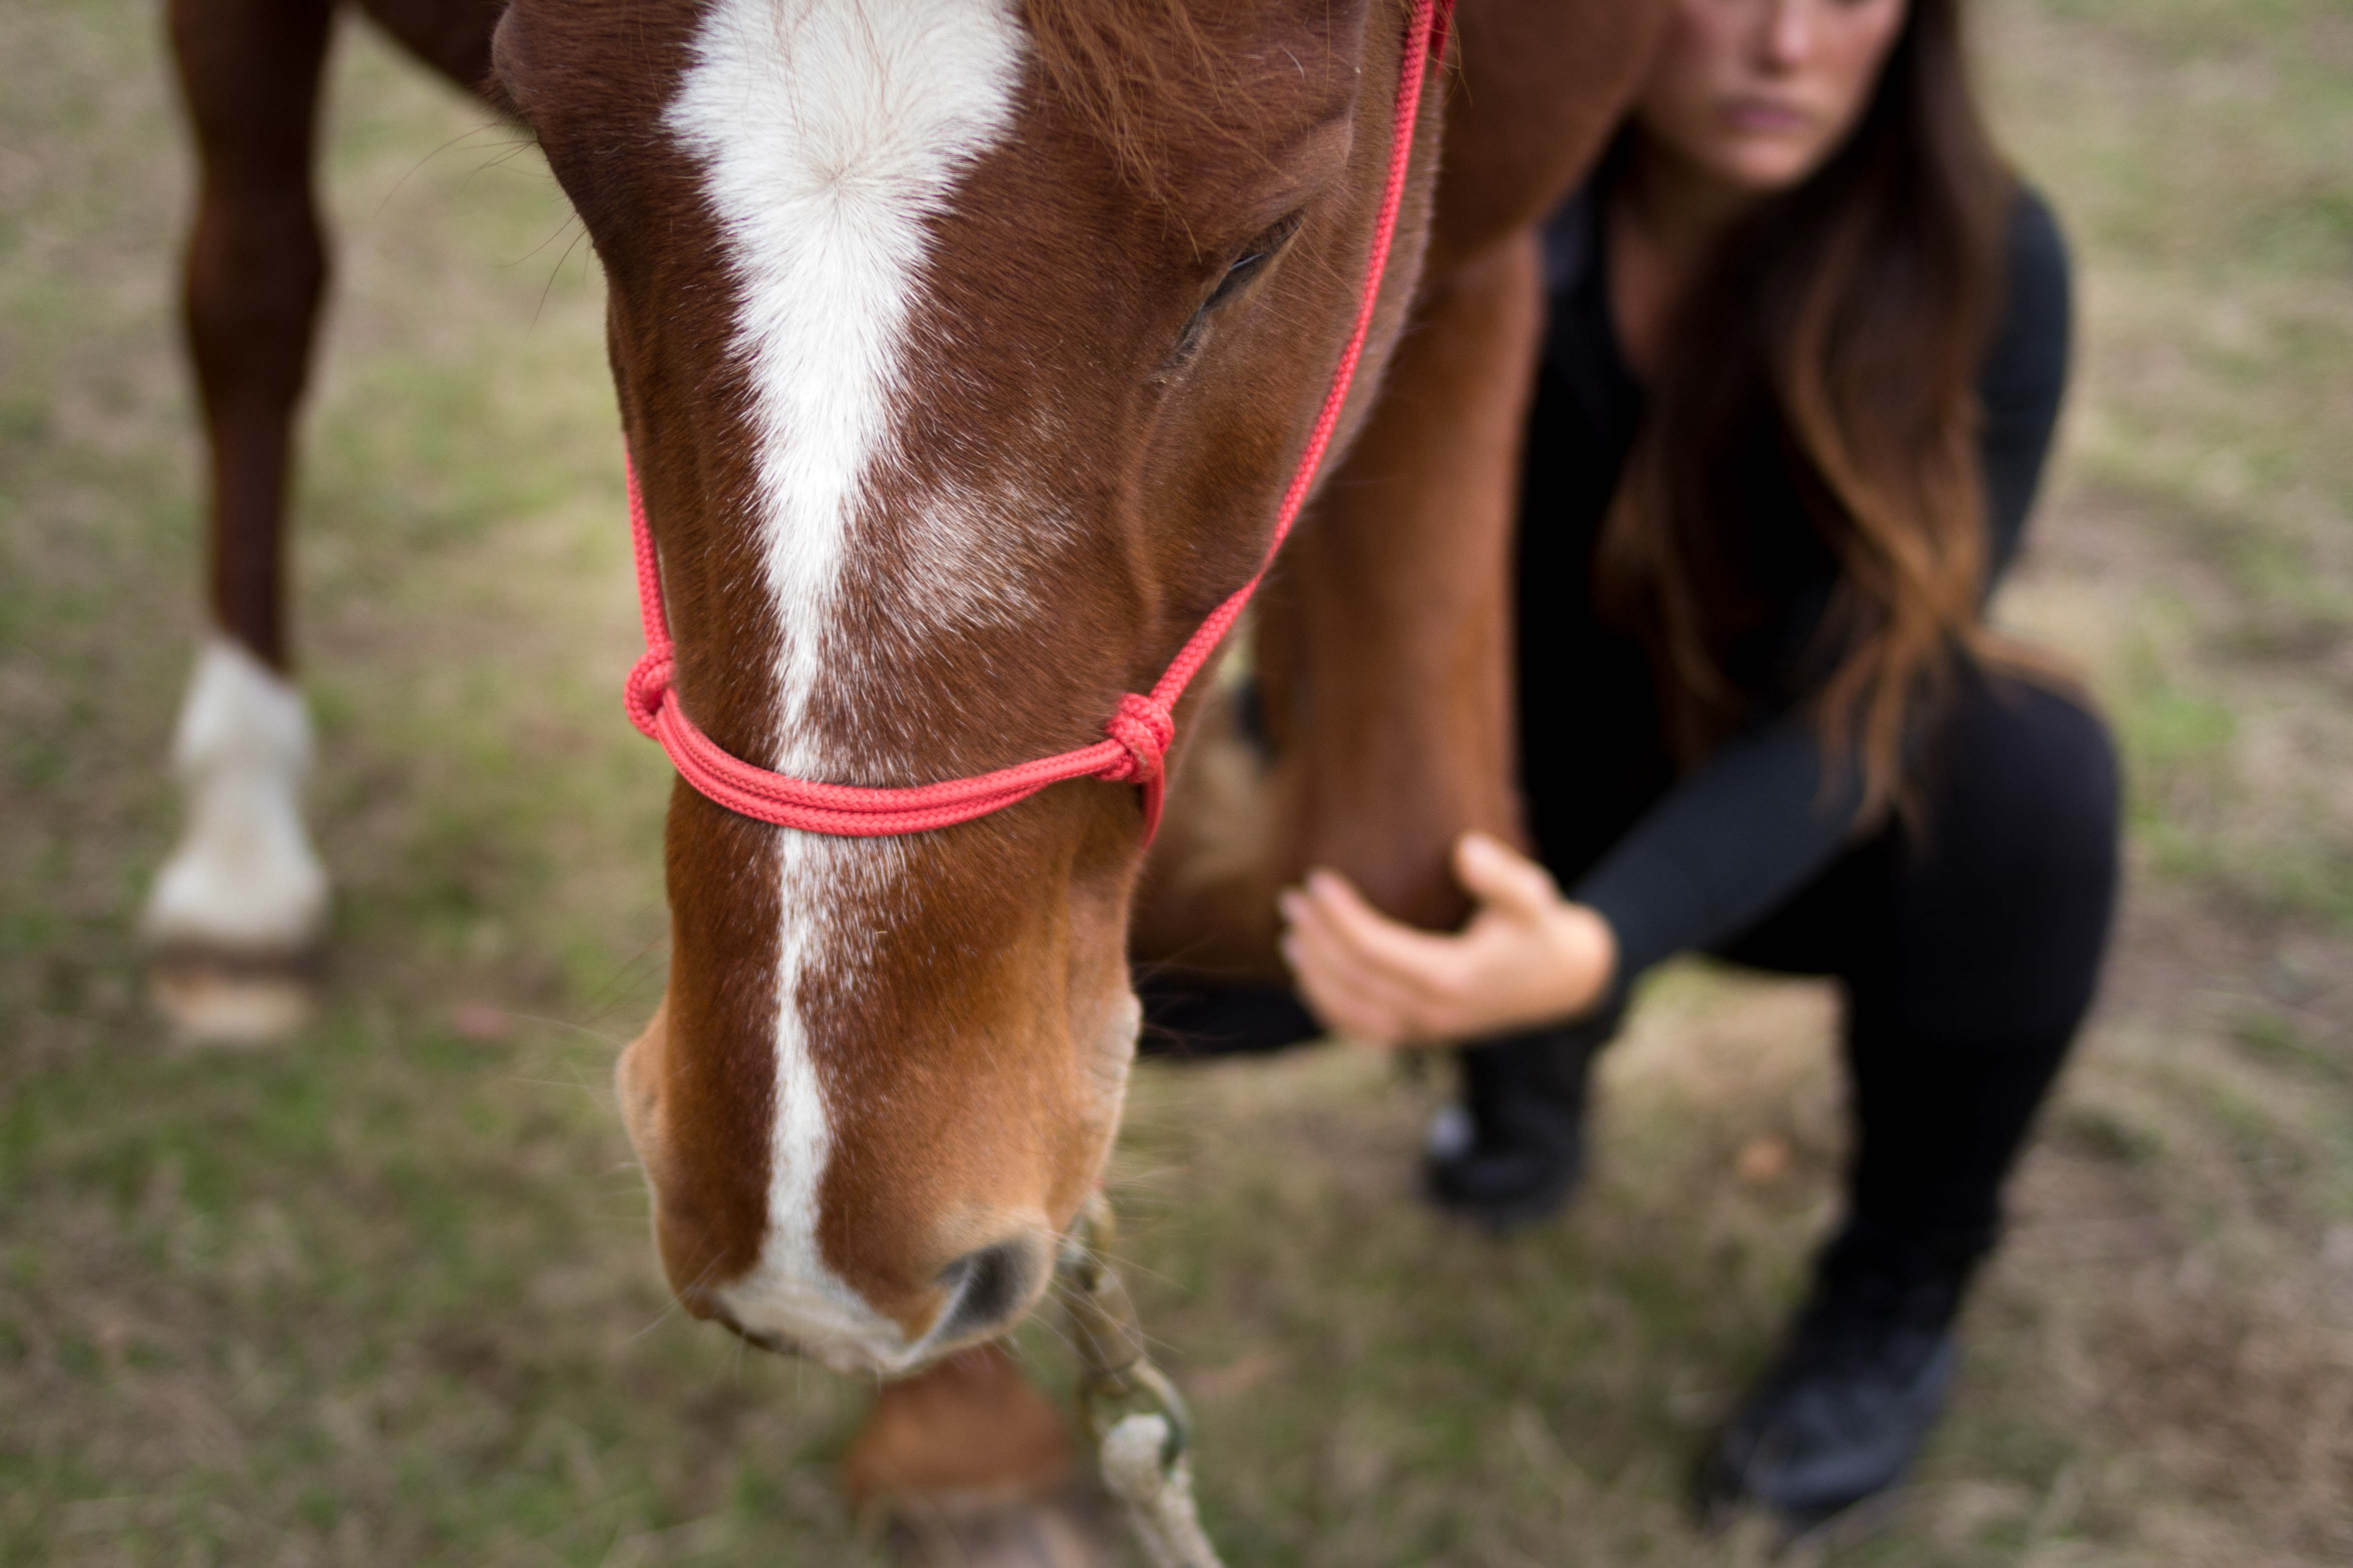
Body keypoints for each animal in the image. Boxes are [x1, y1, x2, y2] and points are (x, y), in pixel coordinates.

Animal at [147, 0, 1666, 1523]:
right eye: (576, 185)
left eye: (1261, 246)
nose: (809, 1243)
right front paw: (960, 1413)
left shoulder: (1472, 231)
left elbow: (1396, 846)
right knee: (252, 294)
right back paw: (239, 868)